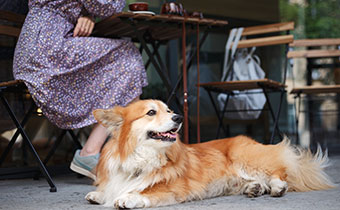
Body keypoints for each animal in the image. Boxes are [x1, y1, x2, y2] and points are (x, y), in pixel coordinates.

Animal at [85, 99, 334, 208]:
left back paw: (277, 186)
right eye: (151, 112)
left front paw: (128, 198)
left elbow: (146, 191)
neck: (140, 157)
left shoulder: (176, 188)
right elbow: (109, 190)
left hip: (246, 158)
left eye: (169, 110)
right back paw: (254, 188)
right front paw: (99, 195)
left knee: (280, 171)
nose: (178, 117)